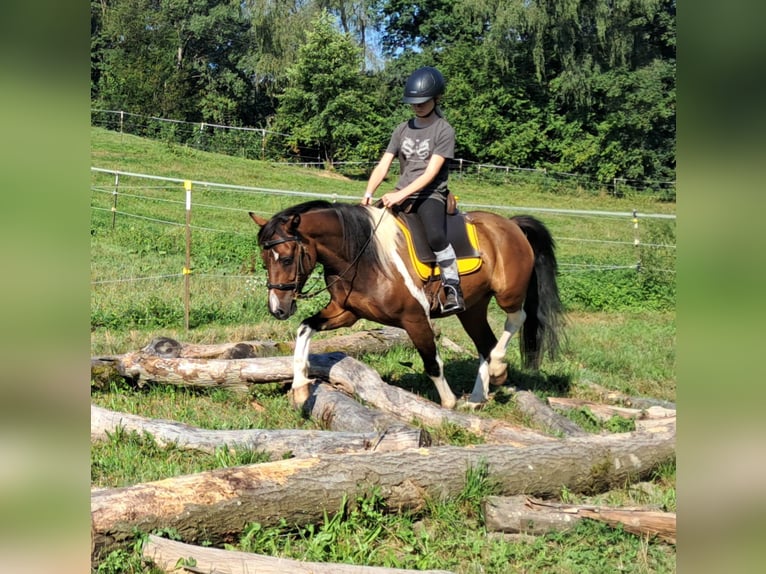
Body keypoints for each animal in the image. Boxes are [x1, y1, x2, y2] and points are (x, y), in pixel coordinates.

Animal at [250, 200, 564, 412]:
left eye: (286, 259)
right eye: (265, 260)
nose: (278, 309)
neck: (364, 255)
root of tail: (510, 224)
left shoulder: (415, 318)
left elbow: (432, 363)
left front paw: (448, 403)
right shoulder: (346, 313)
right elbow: (304, 329)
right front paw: (301, 389)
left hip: (507, 294)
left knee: (517, 317)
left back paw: (498, 367)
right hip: (472, 309)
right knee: (485, 343)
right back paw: (478, 397)